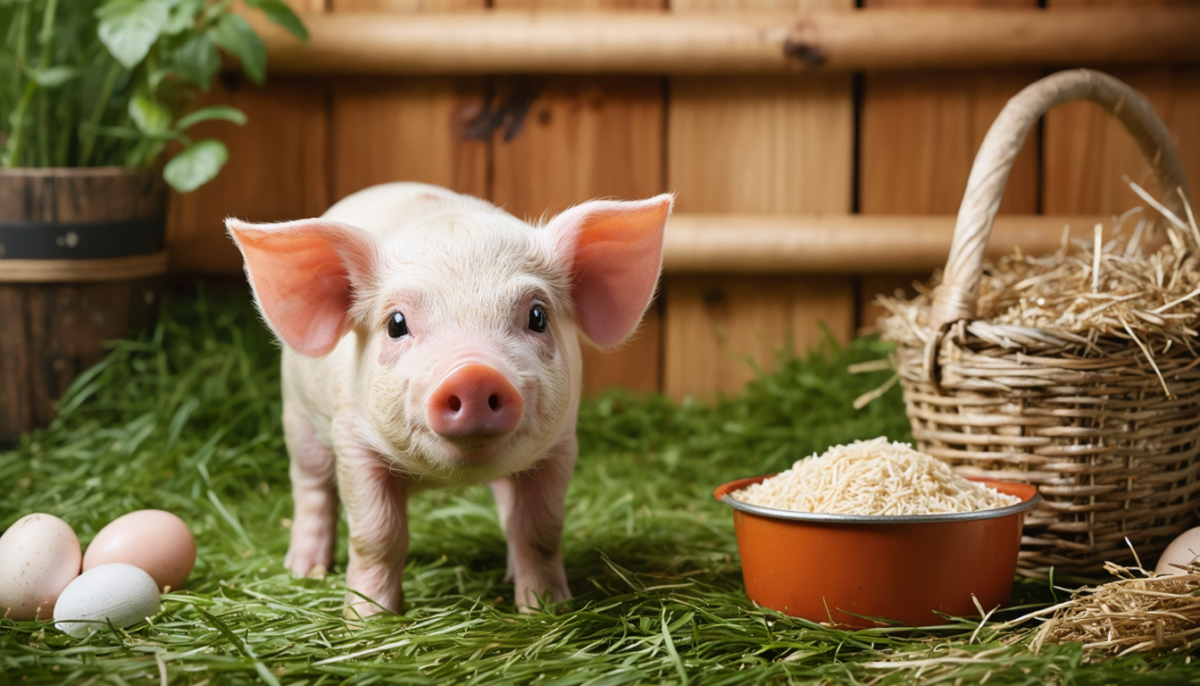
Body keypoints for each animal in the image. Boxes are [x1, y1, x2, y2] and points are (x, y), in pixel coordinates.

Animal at [227, 183, 672, 617]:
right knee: (311, 487)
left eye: (538, 317)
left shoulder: (561, 445)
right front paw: (367, 621)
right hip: (297, 417)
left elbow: (540, 530)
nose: (473, 373)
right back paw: (305, 571)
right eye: (396, 324)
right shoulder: (353, 440)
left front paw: (547, 611)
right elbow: (376, 535)